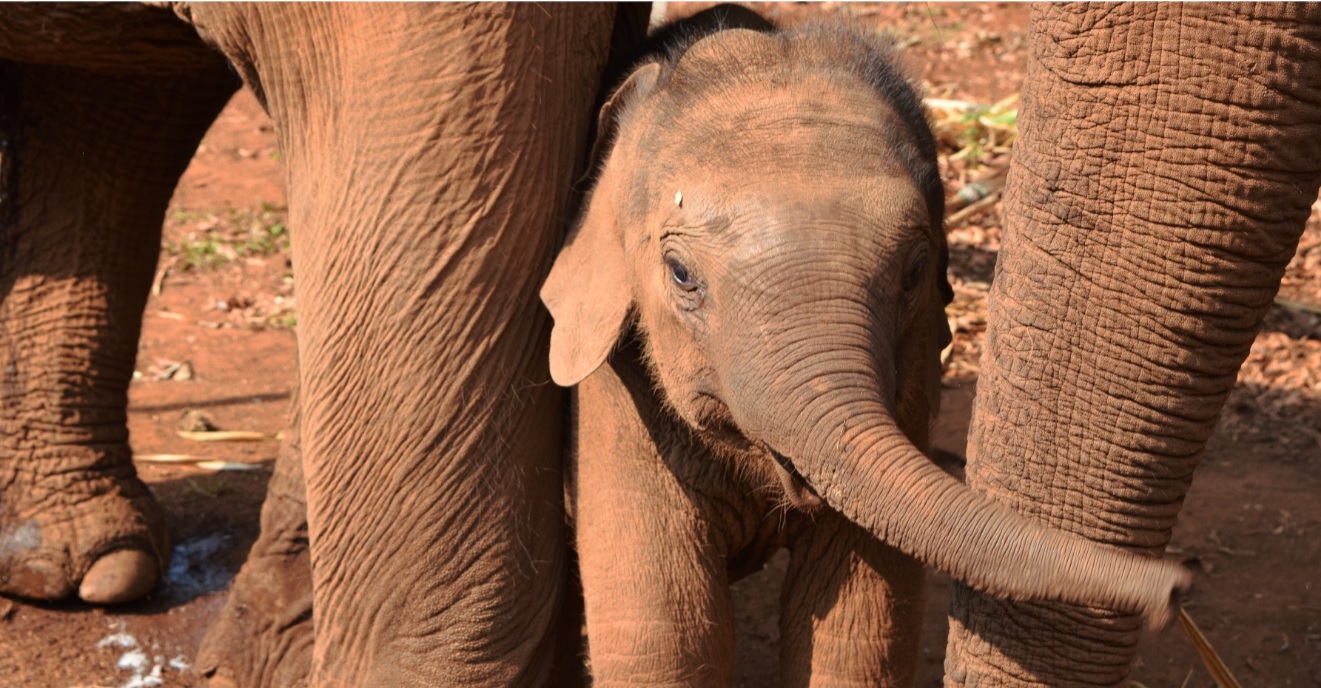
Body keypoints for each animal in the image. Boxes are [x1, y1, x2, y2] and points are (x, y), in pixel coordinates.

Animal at [543, 15, 1191, 687]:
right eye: (679, 274)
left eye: (915, 270)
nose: (1178, 586)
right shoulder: (613, 388)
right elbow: (666, 638)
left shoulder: (913, 369)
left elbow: (859, 627)